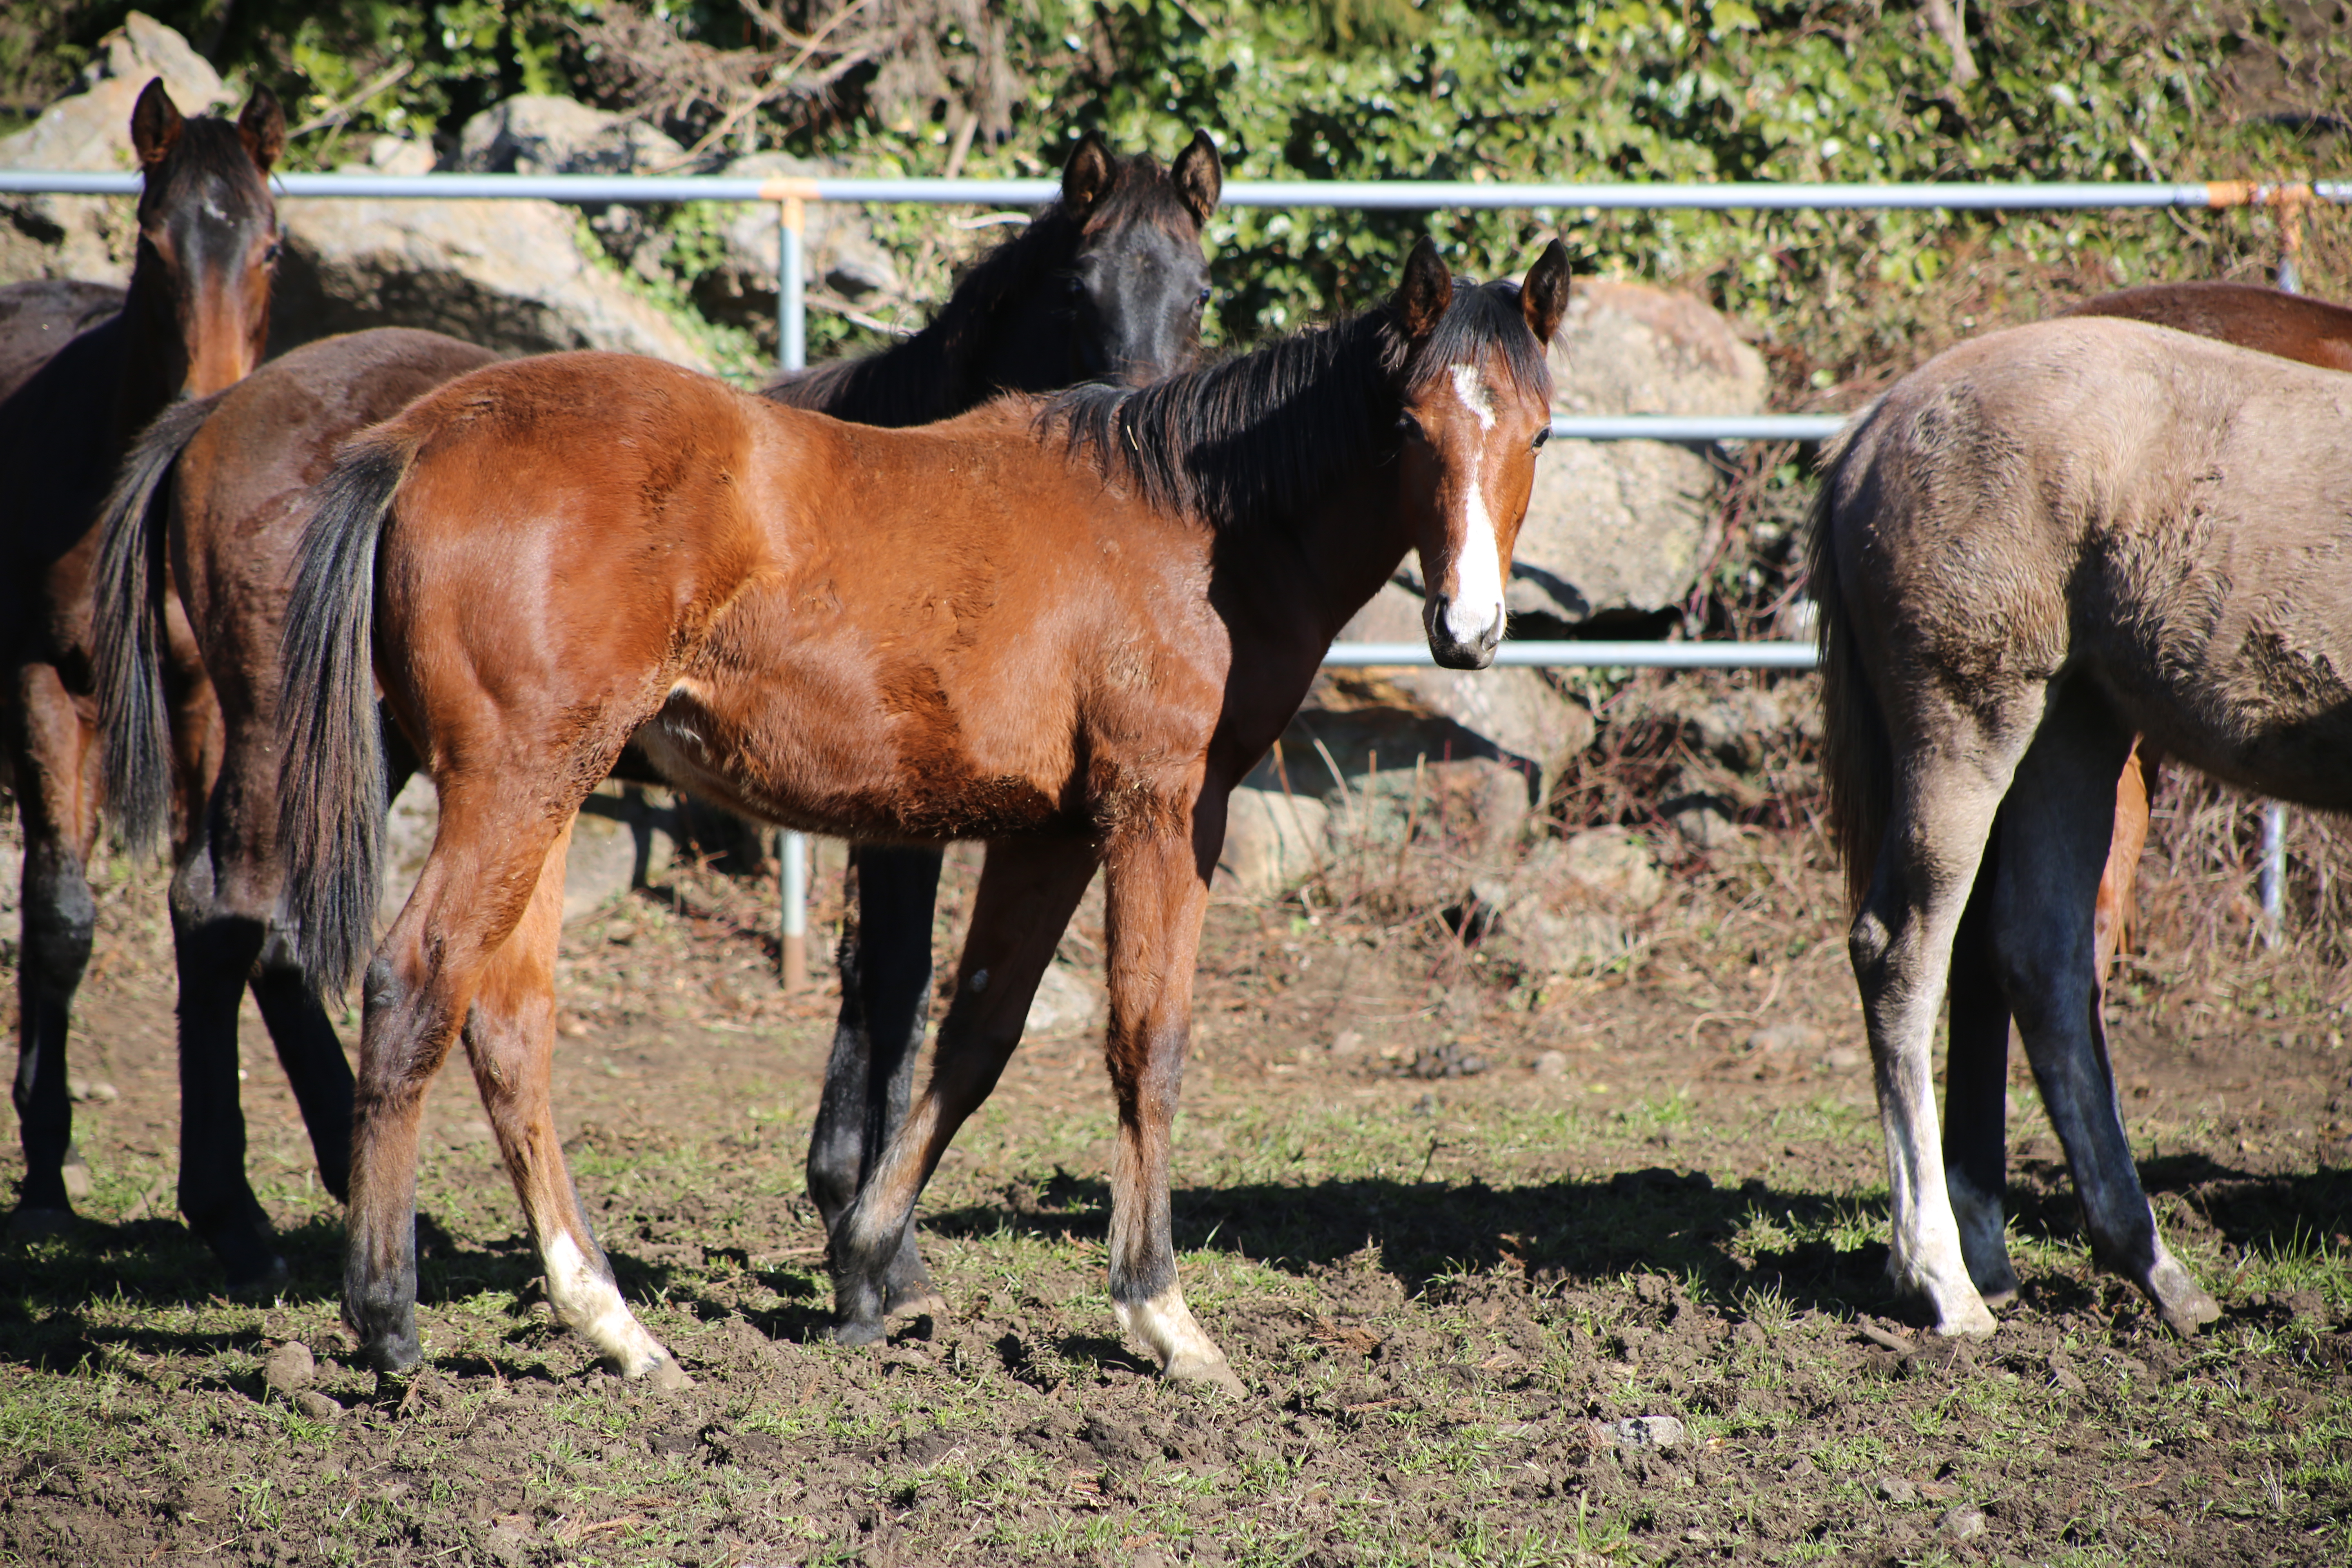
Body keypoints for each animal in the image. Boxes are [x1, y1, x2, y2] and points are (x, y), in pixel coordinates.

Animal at [270, 240, 1561, 1392]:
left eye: (1538, 433)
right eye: (1411, 426)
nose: (1468, 629)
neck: (1195, 527)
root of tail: (429, 432)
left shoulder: (1048, 833)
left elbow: (976, 1035)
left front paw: (867, 1263)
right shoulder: (1160, 812)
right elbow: (1148, 1043)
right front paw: (1162, 1315)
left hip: (545, 789)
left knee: (508, 1029)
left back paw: (618, 1330)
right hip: (514, 784)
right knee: (414, 985)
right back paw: (388, 1325)